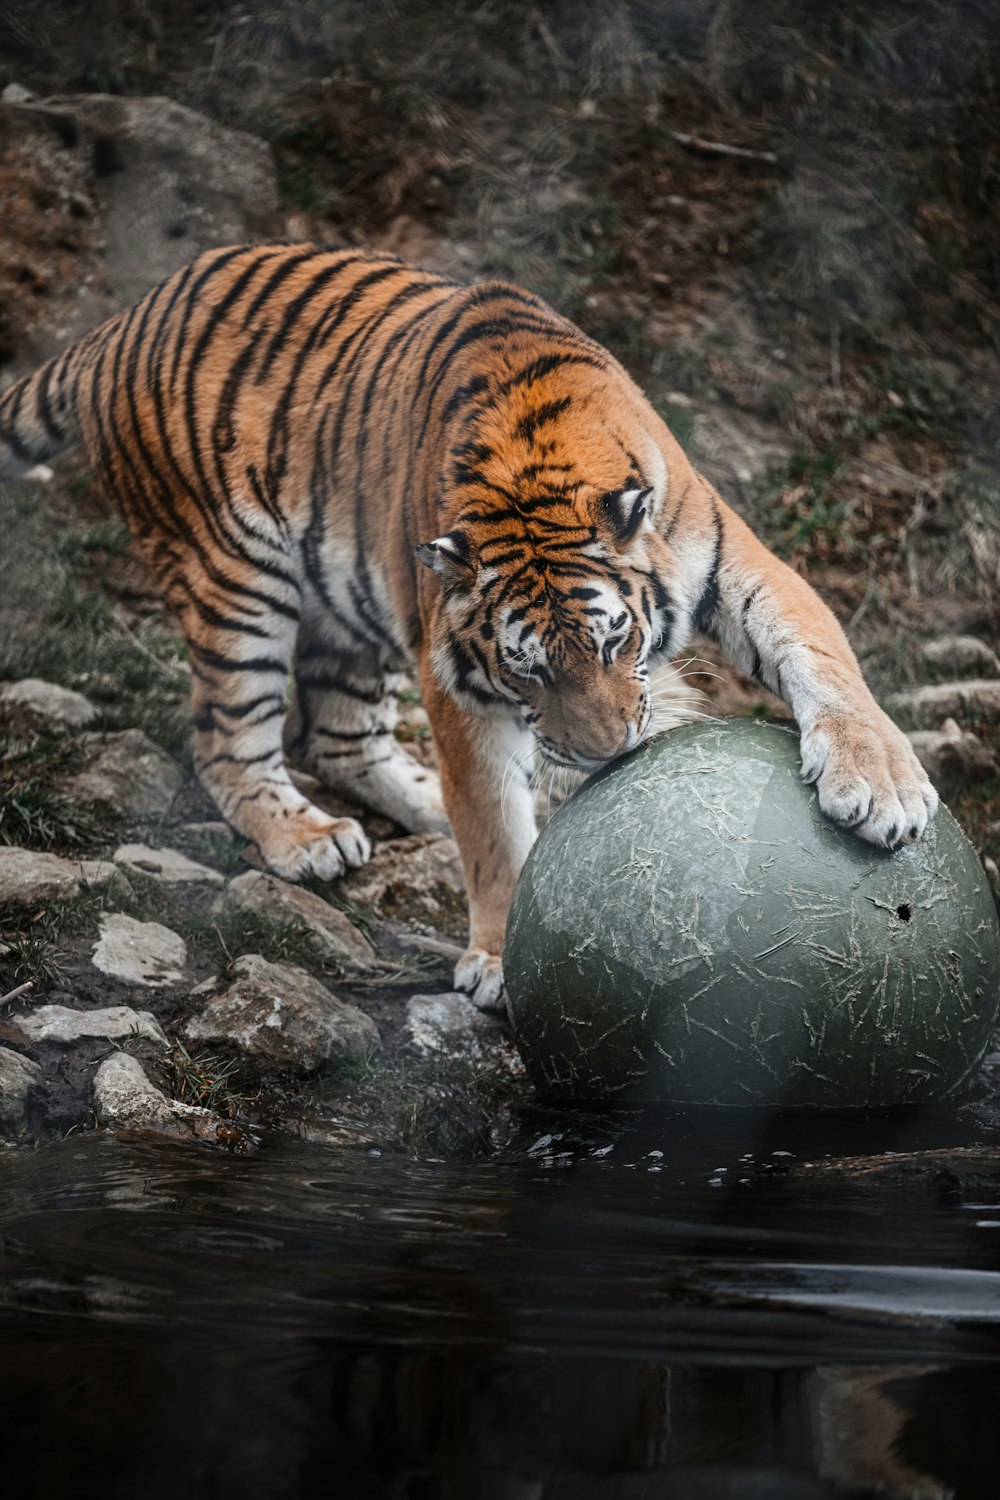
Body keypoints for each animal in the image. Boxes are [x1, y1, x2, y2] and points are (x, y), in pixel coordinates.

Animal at [0, 243, 941, 1008]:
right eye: (528, 670)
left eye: (618, 641)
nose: (608, 756)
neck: (535, 469)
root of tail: (120, 322)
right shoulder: (453, 674)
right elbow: (490, 822)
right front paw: (499, 958)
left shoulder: (740, 563)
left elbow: (823, 658)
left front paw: (884, 789)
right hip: (236, 578)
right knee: (229, 740)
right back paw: (306, 837)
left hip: (352, 601)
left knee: (335, 732)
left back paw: (417, 799)